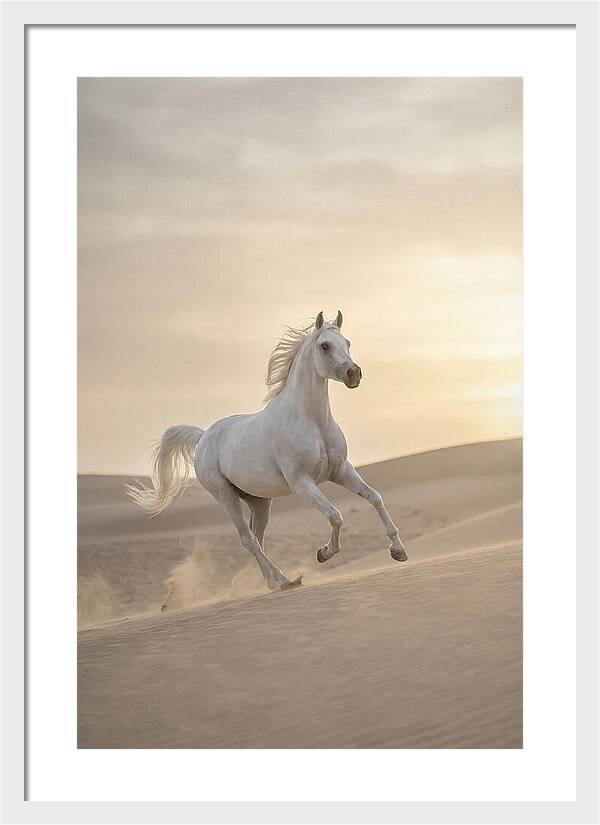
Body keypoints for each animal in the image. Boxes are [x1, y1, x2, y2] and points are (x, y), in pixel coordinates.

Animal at [127, 310, 407, 592]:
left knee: (257, 538)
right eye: (325, 346)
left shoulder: (340, 471)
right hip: (225, 496)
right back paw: (284, 580)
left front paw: (398, 551)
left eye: (347, 343)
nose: (353, 374)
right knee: (248, 540)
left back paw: (273, 582)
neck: (312, 421)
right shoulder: (302, 482)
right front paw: (324, 553)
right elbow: (335, 515)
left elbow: (374, 497)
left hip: (259, 501)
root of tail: (203, 437)